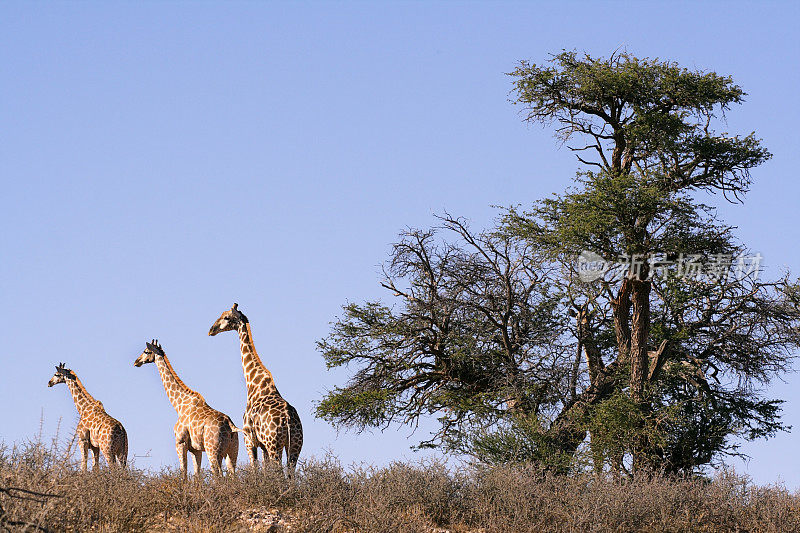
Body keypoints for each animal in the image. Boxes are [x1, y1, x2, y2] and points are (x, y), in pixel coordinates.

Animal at [134, 338, 239, 480]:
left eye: (146, 351)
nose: (136, 361)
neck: (179, 405)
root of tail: (230, 424)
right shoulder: (196, 449)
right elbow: (196, 475)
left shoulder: (180, 442)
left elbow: (183, 473)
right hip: (232, 451)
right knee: (232, 474)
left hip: (213, 450)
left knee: (218, 475)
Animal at [209, 304, 304, 478]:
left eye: (226, 317)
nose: (211, 329)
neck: (254, 383)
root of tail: (288, 419)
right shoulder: (263, 445)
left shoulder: (249, 440)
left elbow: (255, 469)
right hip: (294, 445)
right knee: (290, 474)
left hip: (275, 445)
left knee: (280, 473)